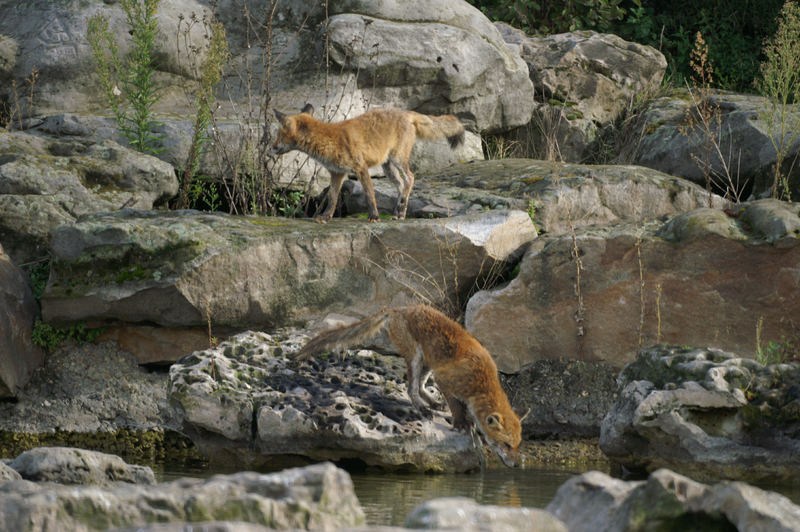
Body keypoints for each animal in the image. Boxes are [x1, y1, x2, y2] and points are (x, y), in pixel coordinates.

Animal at [272, 105, 466, 223]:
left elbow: (369, 195)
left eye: (278, 136)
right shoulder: (337, 173)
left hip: (398, 159)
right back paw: (398, 212)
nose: (271, 147)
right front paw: (326, 217)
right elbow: (332, 198)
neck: (329, 140)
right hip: (388, 166)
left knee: (410, 179)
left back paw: (401, 211)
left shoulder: (361, 167)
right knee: (401, 184)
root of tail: (406, 112)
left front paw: (374, 216)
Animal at [296, 306, 528, 468]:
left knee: (421, 387)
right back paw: (422, 407)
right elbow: (456, 407)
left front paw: (467, 420)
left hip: (427, 363)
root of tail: (400, 308)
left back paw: (432, 402)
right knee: (411, 389)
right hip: (416, 358)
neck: (480, 382)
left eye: (518, 445)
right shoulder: (445, 380)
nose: (517, 464)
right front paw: (461, 424)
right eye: (506, 445)